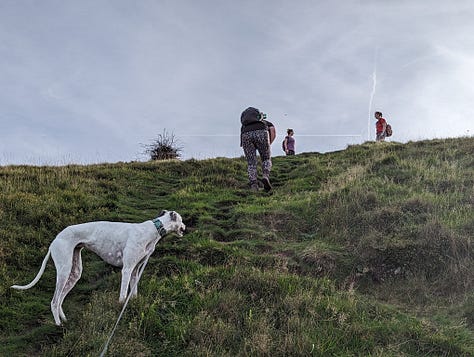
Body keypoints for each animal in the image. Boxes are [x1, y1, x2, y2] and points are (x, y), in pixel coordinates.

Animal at [11, 210, 185, 324]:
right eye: (181, 219)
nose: (185, 228)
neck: (153, 229)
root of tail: (55, 239)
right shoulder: (127, 269)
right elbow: (123, 295)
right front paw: (120, 308)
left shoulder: (136, 271)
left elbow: (133, 293)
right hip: (64, 271)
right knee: (54, 301)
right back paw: (58, 325)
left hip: (74, 273)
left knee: (60, 299)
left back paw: (65, 321)